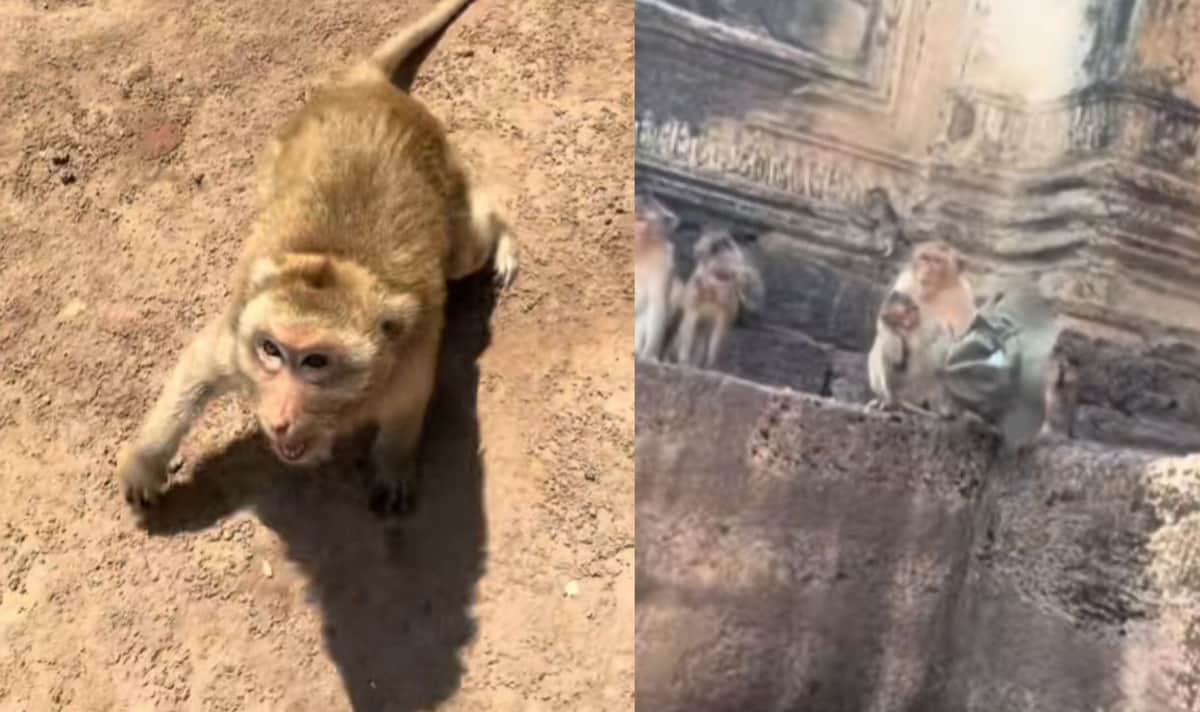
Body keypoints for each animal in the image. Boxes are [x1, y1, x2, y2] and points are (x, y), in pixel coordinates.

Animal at [115, 0, 518, 516]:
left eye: (316, 362)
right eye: (271, 350)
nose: (279, 420)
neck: (335, 264)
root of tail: (365, 86)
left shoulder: (405, 364)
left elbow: (408, 408)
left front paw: (393, 464)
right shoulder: (239, 341)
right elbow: (198, 365)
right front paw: (144, 461)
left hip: (446, 187)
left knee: (466, 246)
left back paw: (501, 237)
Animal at [672, 228, 764, 369]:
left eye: (717, 247)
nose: (696, 250)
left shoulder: (723, 314)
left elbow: (714, 342)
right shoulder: (693, 308)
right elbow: (687, 337)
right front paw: (685, 361)